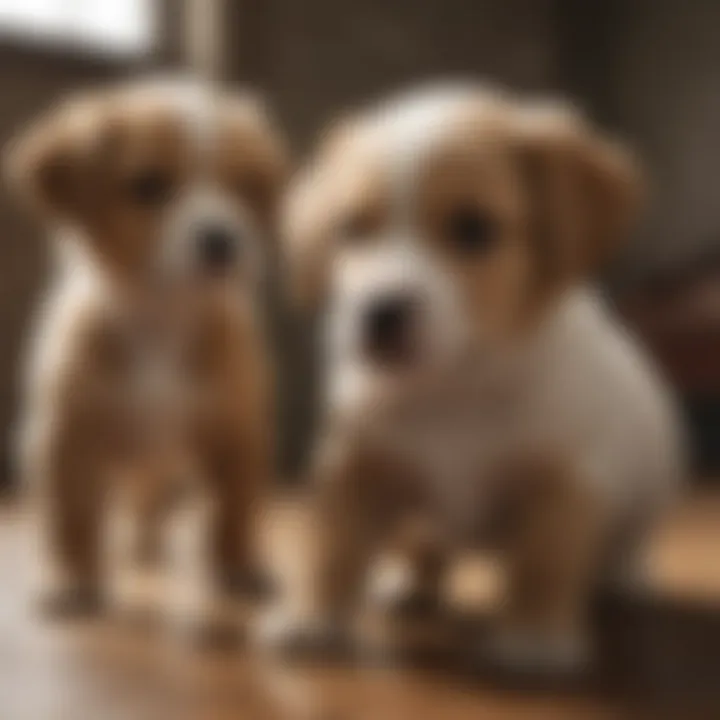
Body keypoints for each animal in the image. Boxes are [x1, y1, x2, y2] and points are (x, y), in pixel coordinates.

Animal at [7, 77, 286, 620]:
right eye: (149, 186)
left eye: (244, 188)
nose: (223, 240)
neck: (162, 317)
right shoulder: (68, 437)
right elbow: (71, 518)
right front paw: (72, 580)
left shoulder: (236, 431)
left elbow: (235, 512)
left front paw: (239, 568)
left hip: (165, 469)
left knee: (150, 503)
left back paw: (148, 545)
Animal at [262, 84, 680, 668]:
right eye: (351, 229)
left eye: (474, 229)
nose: (379, 312)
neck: (454, 385)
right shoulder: (355, 465)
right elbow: (333, 545)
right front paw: (311, 616)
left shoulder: (564, 480)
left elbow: (544, 560)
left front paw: (533, 635)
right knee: (423, 543)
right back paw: (407, 581)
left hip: (648, 488)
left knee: (622, 545)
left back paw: (624, 579)